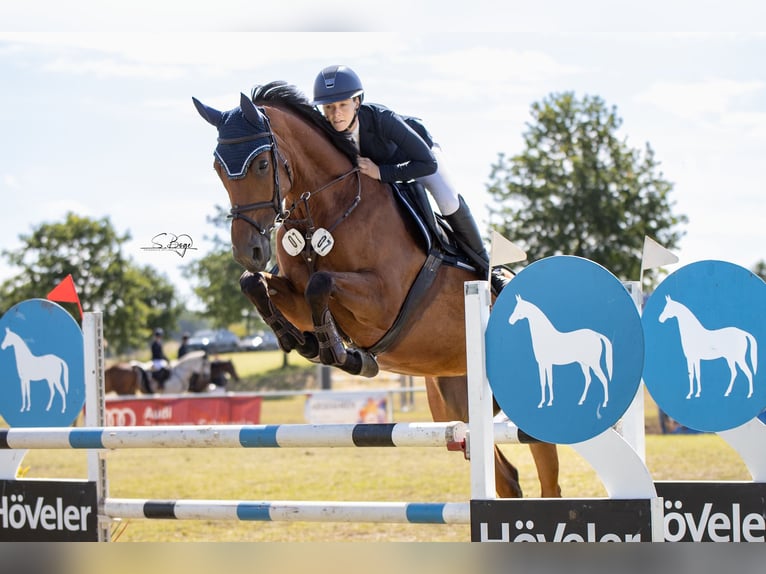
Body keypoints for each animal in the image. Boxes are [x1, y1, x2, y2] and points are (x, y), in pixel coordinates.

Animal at [192, 83, 564, 502]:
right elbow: (255, 284)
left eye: (259, 165)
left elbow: (322, 284)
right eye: (218, 168)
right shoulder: (295, 295)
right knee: (507, 478)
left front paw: (341, 353)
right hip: (457, 403)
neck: (327, 208)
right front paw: (298, 340)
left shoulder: (383, 300)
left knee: (548, 479)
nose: (249, 251)